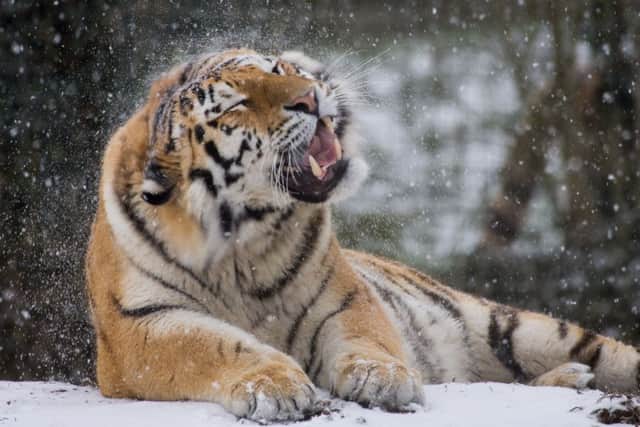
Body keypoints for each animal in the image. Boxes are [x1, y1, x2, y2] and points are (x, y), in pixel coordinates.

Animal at [85, 48, 640, 422]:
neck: (240, 244)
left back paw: (576, 374)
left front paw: (382, 377)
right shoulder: (138, 326)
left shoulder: (344, 295)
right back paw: (571, 378)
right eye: (237, 104)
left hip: (515, 328)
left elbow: (365, 335)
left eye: (277, 70)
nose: (310, 96)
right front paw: (273, 384)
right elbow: (213, 346)